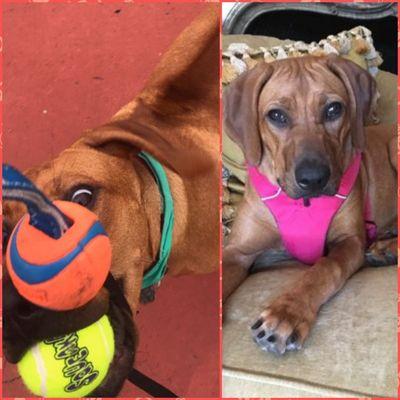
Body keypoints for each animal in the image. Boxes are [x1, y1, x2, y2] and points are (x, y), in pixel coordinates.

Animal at [223, 54, 396, 354]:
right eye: (276, 115)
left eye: (333, 109)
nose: (313, 179)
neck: (303, 205)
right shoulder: (238, 251)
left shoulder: (349, 242)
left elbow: (325, 268)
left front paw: (286, 314)